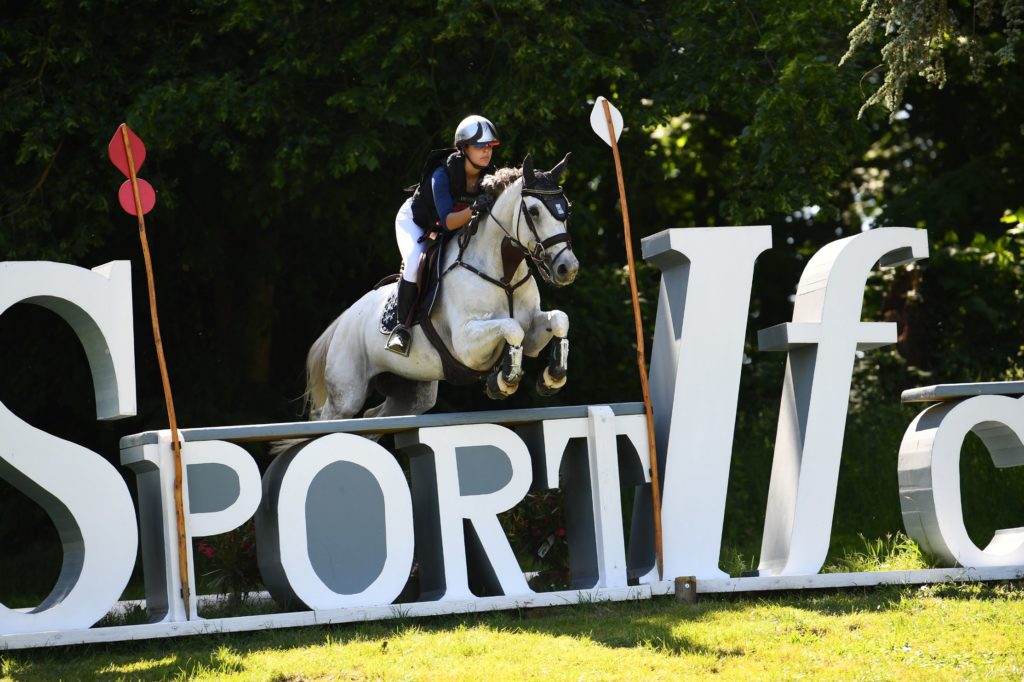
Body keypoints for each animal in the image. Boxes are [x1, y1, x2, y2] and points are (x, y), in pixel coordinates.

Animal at [301, 153, 577, 419]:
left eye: (566, 210)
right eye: (534, 211)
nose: (568, 268)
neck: (504, 275)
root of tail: (343, 320)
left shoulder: (531, 331)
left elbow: (559, 319)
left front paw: (553, 376)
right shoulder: (467, 345)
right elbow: (512, 327)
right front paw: (503, 382)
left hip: (411, 392)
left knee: (375, 414)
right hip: (346, 394)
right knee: (329, 415)